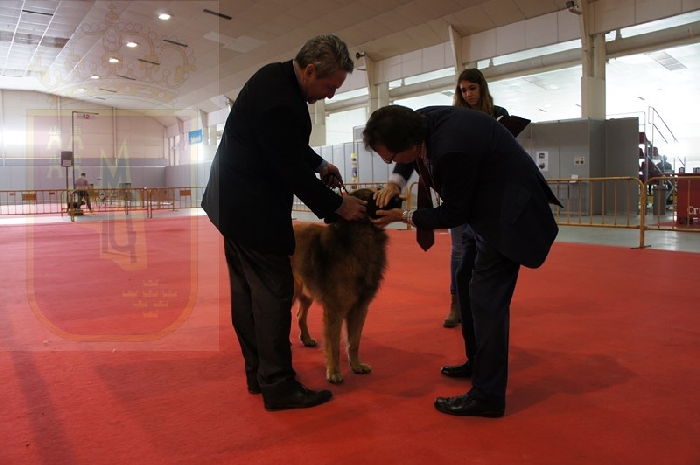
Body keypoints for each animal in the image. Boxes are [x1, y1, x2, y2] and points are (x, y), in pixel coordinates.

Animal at [291, 187, 402, 384]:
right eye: (369, 197)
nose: (398, 198)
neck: (362, 238)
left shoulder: (360, 308)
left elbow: (354, 341)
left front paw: (356, 365)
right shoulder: (335, 309)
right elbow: (334, 345)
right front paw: (334, 371)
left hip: (306, 292)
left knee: (300, 315)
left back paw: (306, 339)